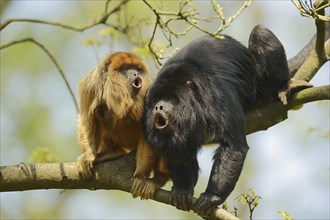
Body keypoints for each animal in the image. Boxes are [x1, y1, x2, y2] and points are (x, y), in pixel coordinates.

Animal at [76, 52, 169, 199]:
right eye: (126, 68)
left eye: (137, 68)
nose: (136, 74)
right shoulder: (90, 86)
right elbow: (87, 119)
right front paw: (88, 156)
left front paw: (140, 176)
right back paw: (112, 153)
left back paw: (159, 178)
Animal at [141, 24, 310, 216]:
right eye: (155, 100)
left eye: (169, 98)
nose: (158, 107)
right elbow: (178, 151)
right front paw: (183, 189)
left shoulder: (216, 93)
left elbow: (234, 146)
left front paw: (212, 196)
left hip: (261, 87)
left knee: (259, 32)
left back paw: (283, 86)